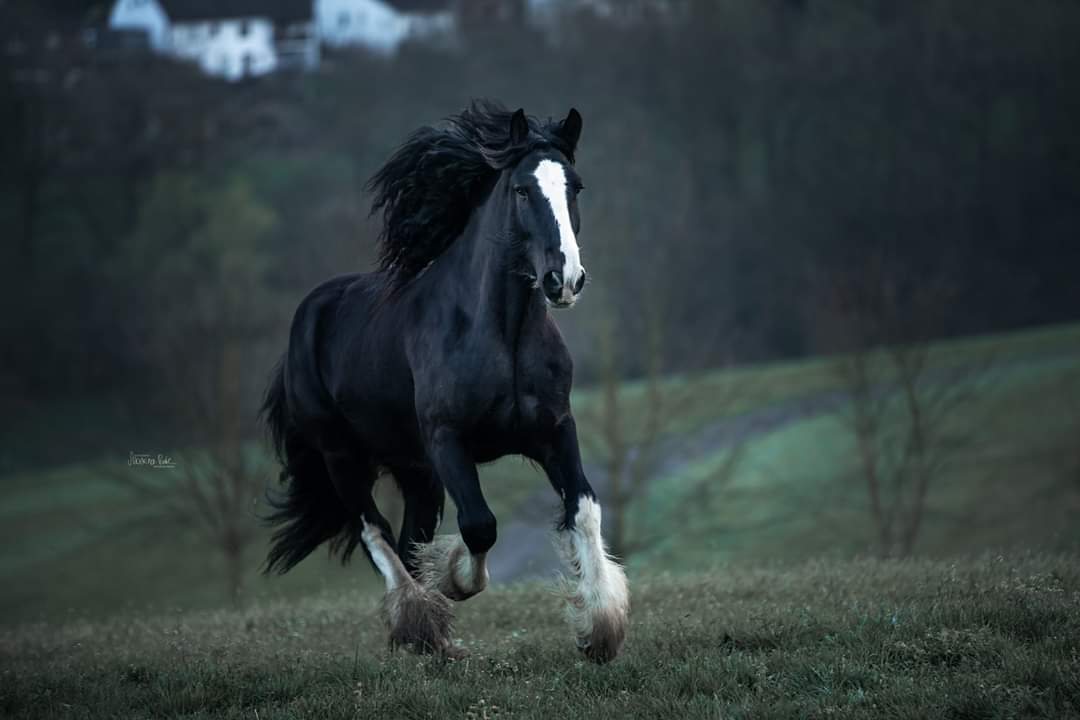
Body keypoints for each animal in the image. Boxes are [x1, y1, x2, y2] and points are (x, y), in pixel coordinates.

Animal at [261, 101, 630, 664]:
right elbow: (479, 526)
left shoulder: (554, 431)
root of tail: (307, 318)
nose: (564, 280)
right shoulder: (446, 440)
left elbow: (584, 509)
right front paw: (452, 578)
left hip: (415, 471)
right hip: (343, 458)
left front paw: (601, 629)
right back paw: (418, 621)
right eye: (522, 190)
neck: (501, 334)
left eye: (576, 187)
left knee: (406, 537)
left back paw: (429, 636)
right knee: (375, 531)